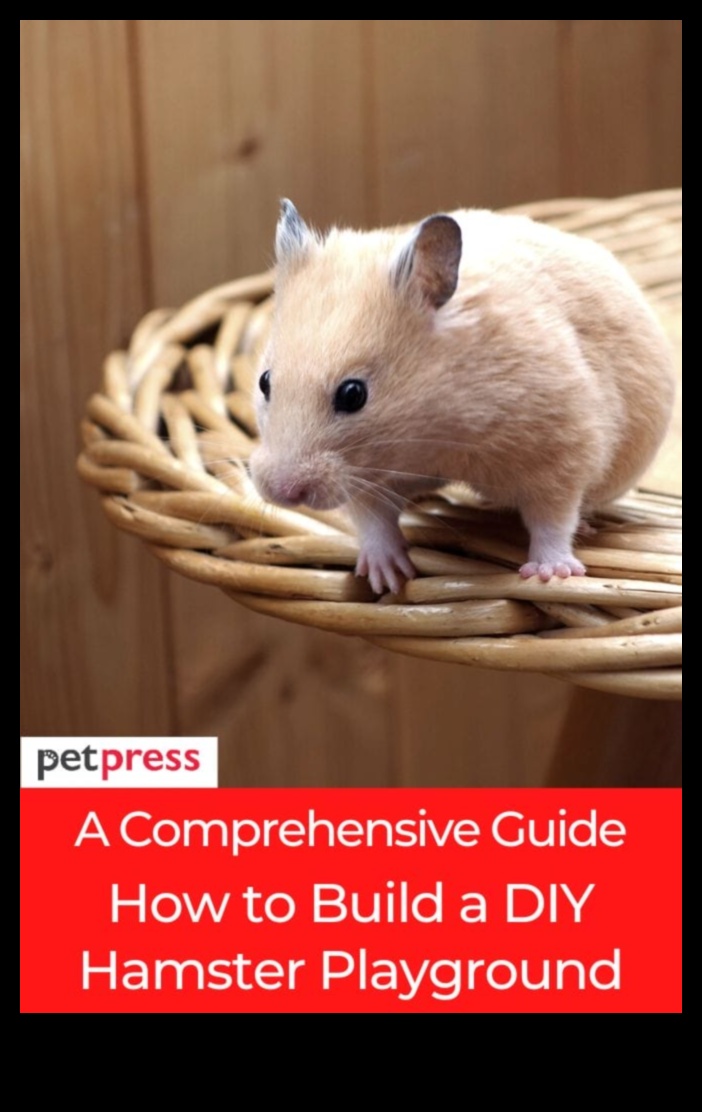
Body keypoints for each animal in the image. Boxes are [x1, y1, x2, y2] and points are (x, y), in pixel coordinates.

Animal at [249, 199, 676, 594]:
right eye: (265, 381)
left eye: (353, 394)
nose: (282, 493)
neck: (433, 432)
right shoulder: (365, 478)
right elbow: (374, 519)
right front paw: (387, 578)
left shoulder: (563, 449)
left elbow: (553, 517)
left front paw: (549, 575)